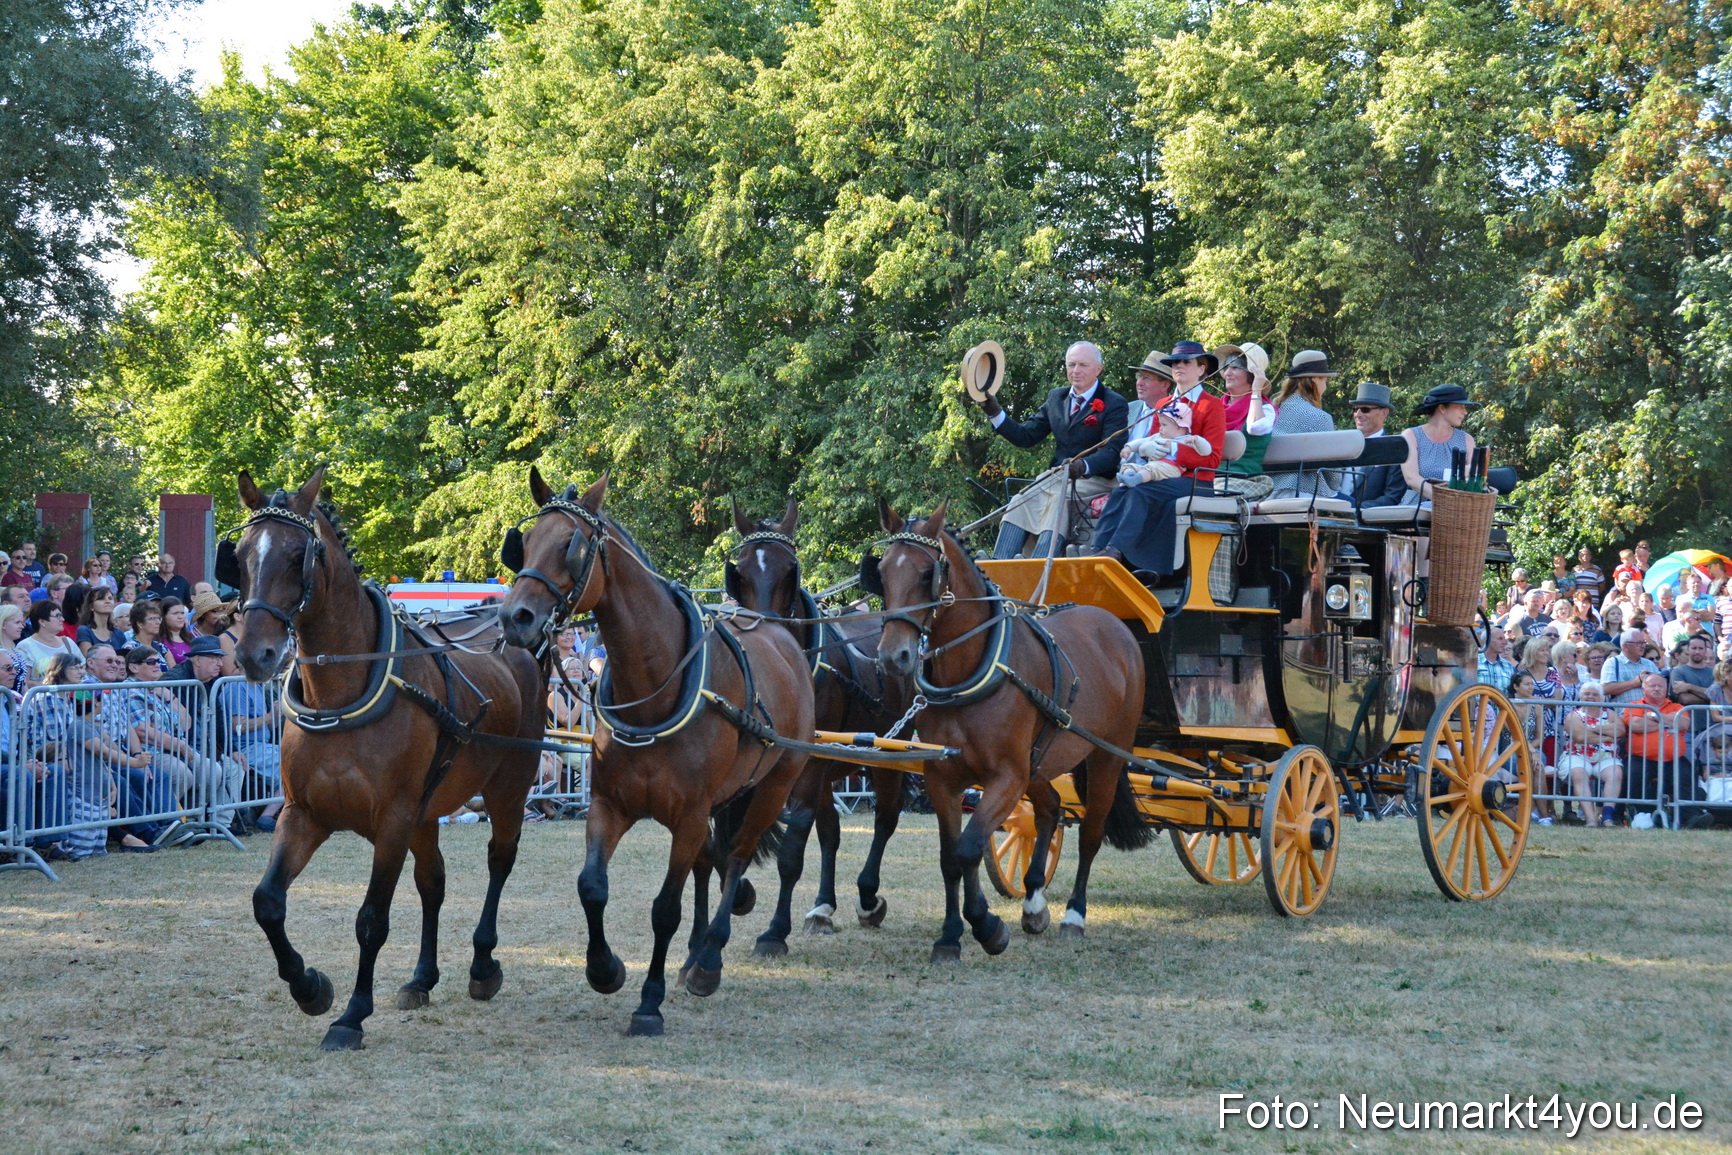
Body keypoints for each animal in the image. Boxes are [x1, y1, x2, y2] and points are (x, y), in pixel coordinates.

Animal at [226, 467, 546, 1051]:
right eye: (238, 556)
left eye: (298, 555)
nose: (254, 655)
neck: (343, 691)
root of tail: (516, 642)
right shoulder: (304, 815)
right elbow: (268, 902)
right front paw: (310, 987)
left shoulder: (393, 820)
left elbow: (371, 919)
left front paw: (351, 1015)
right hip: (428, 810)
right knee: (433, 882)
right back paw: (421, 979)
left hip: (506, 790)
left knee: (499, 861)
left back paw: (482, 965)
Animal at [496, 469, 814, 1036]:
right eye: (524, 543)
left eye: (572, 545)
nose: (516, 618)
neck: (652, 688)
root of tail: (776, 632)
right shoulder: (608, 806)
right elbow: (591, 886)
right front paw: (605, 969)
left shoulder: (687, 816)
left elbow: (665, 907)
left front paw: (649, 1002)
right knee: (712, 861)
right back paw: (693, 954)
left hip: (775, 786)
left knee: (735, 858)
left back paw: (708, 959)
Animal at [724, 500, 914, 955]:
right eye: (740, 570)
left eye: (789, 570)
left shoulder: (805, 766)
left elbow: (791, 852)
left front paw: (774, 931)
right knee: (831, 833)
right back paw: (823, 908)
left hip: (886, 754)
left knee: (885, 819)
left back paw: (868, 897)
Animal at [866, 499, 1154, 959]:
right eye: (881, 572)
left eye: (928, 574)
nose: (895, 657)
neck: (970, 671)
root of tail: (1113, 623)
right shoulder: (943, 778)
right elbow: (950, 856)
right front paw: (951, 935)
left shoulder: (1005, 777)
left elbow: (968, 848)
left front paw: (986, 926)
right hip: (1038, 762)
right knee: (1051, 808)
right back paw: (1034, 901)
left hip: (1106, 756)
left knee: (1091, 833)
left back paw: (1074, 915)